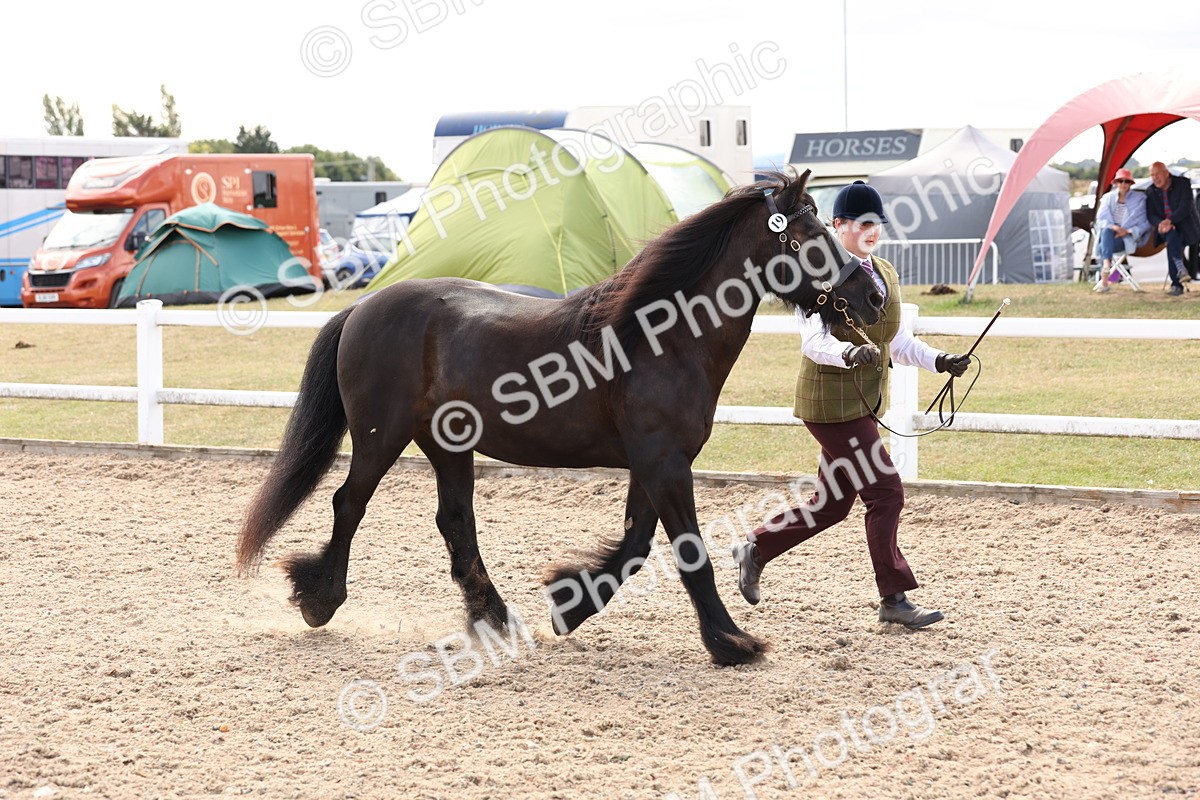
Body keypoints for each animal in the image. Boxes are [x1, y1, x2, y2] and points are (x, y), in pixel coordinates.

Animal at [236, 169, 884, 666]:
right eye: (809, 234)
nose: (872, 296)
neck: (662, 339)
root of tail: (364, 305)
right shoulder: (663, 461)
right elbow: (687, 552)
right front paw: (732, 642)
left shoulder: (654, 463)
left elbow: (636, 545)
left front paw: (569, 604)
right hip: (380, 437)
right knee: (350, 503)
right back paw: (320, 599)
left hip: (447, 446)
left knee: (454, 521)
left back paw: (495, 618)